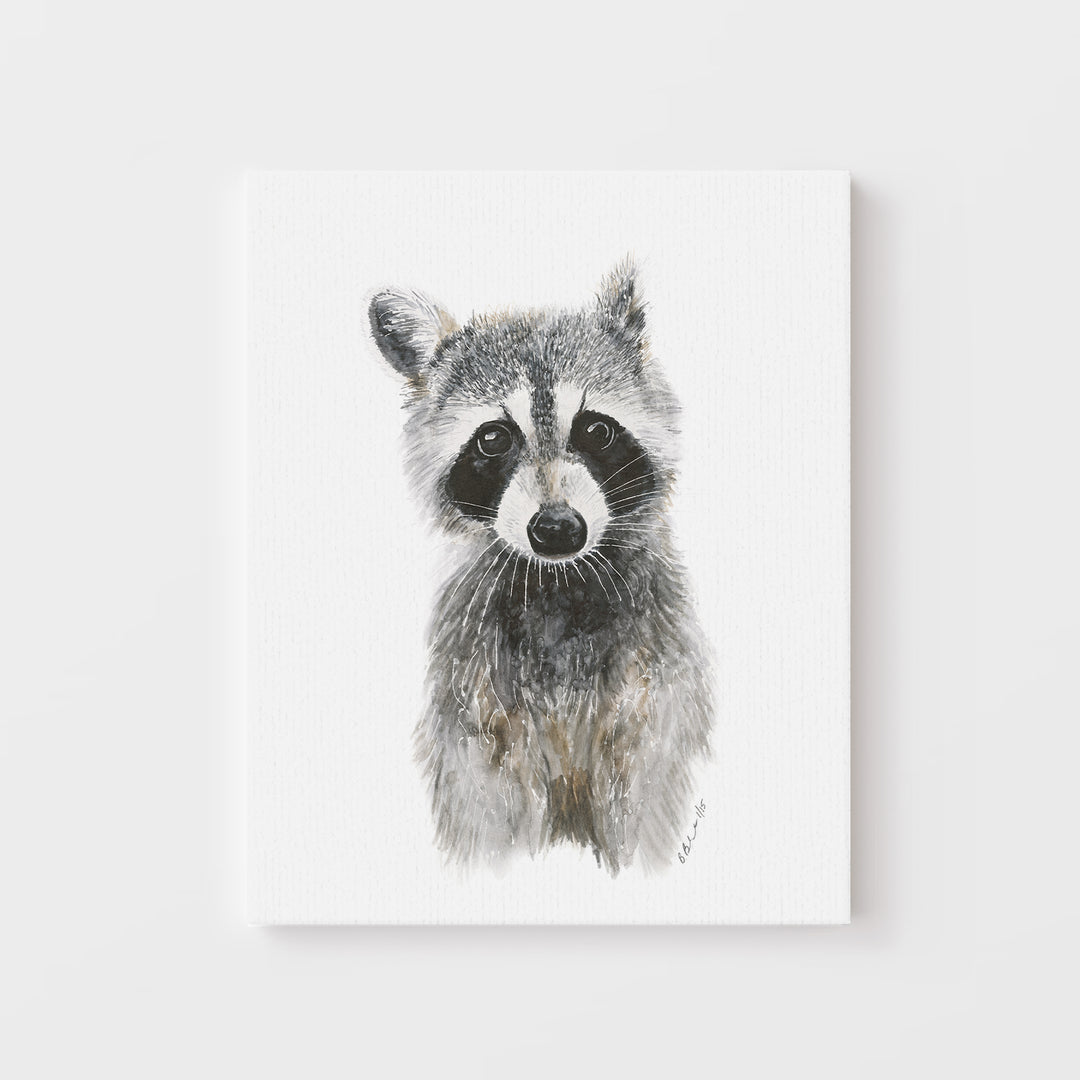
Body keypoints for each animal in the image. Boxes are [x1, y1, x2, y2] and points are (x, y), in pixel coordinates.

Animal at [369, 261, 713, 874]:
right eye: (493, 437)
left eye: (596, 429)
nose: (556, 528)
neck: (558, 582)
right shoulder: (473, 690)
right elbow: (486, 805)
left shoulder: (658, 680)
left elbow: (650, 786)